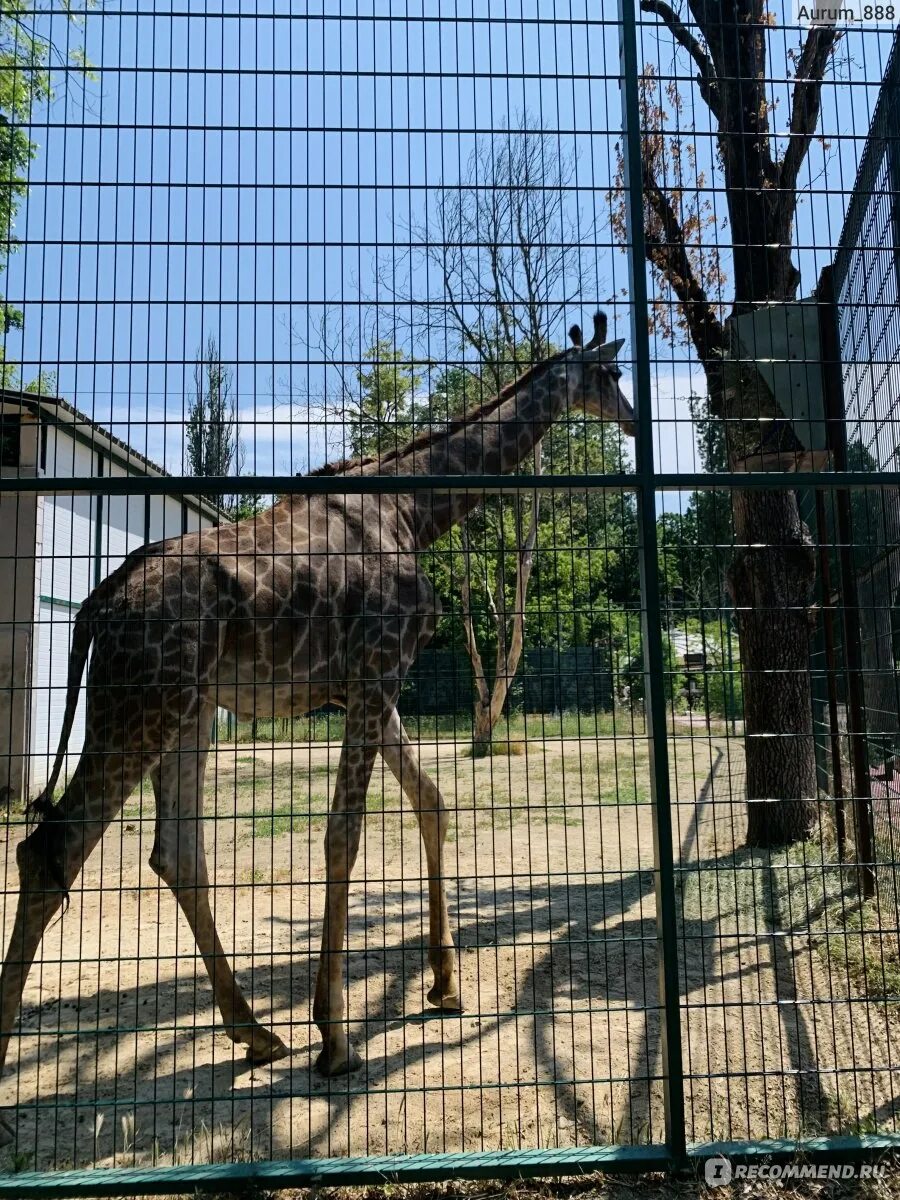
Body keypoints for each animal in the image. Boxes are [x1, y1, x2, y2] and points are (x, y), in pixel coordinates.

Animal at [0, 314, 638, 1137]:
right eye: (612, 375)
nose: (634, 419)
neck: (417, 512)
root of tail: (96, 604)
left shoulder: (371, 685)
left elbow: (431, 800)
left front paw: (445, 985)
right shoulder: (376, 673)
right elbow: (344, 836)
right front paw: (335, 1040)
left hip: (189, 709)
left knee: (176, 852)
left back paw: (256, 1032)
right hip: (142, 705)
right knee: (53, 849)